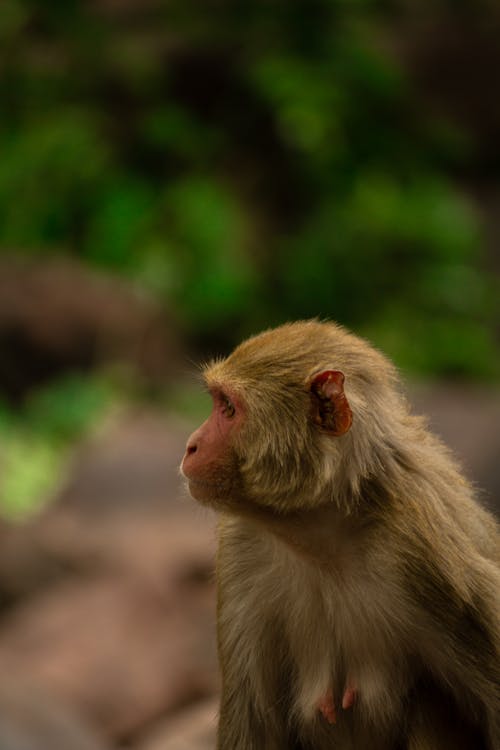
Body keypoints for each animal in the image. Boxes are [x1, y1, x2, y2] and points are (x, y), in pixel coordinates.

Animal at [181, 322, 500, 750]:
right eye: (217, 402)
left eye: (229, 408)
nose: (190, 445)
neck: (321, 534)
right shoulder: (239, 547)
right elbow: (254, 727)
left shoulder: (429, 553)